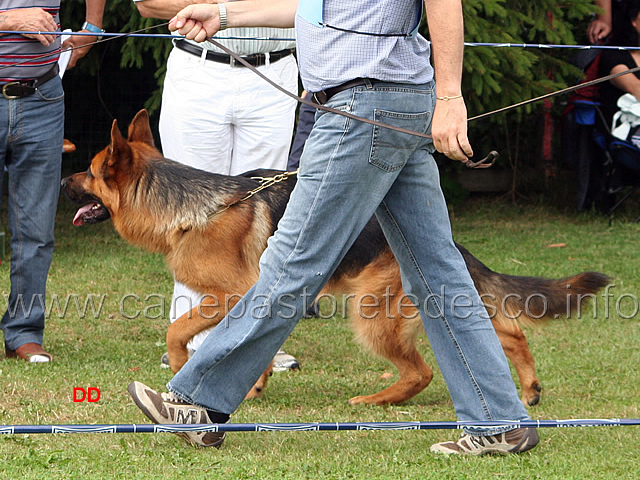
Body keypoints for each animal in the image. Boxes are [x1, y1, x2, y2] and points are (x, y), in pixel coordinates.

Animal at [63, 110, 608, 406]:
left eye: (88, 172)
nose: (64, 180)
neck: (189, 207)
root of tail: (453, 243)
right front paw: (252, 384)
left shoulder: (235, 295)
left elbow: (179, 331)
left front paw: (181, 371)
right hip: (437, 301)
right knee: (510, 333)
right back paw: (529, 388)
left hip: (372, 315)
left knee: (422, 372)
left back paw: (376, 399)